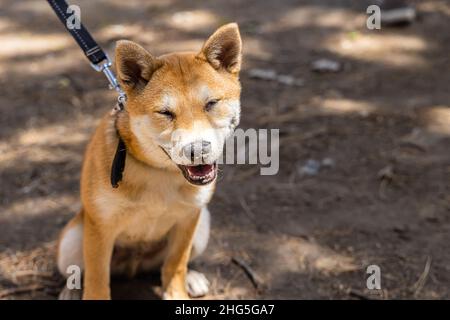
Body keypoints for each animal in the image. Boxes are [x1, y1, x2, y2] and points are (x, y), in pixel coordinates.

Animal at [56, 23, 243, 300]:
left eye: (211, 104)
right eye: (165, 113)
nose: (198, 150)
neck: (158, 172)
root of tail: (134, 263)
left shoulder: (188, 218)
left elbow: (176, 264)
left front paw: (178, 293)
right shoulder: (100, 228)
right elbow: (97, 280)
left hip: (202, 225)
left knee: (168, 264)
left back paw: (192, 277)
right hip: (72, 241)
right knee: (78, 272)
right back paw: (71, 290)